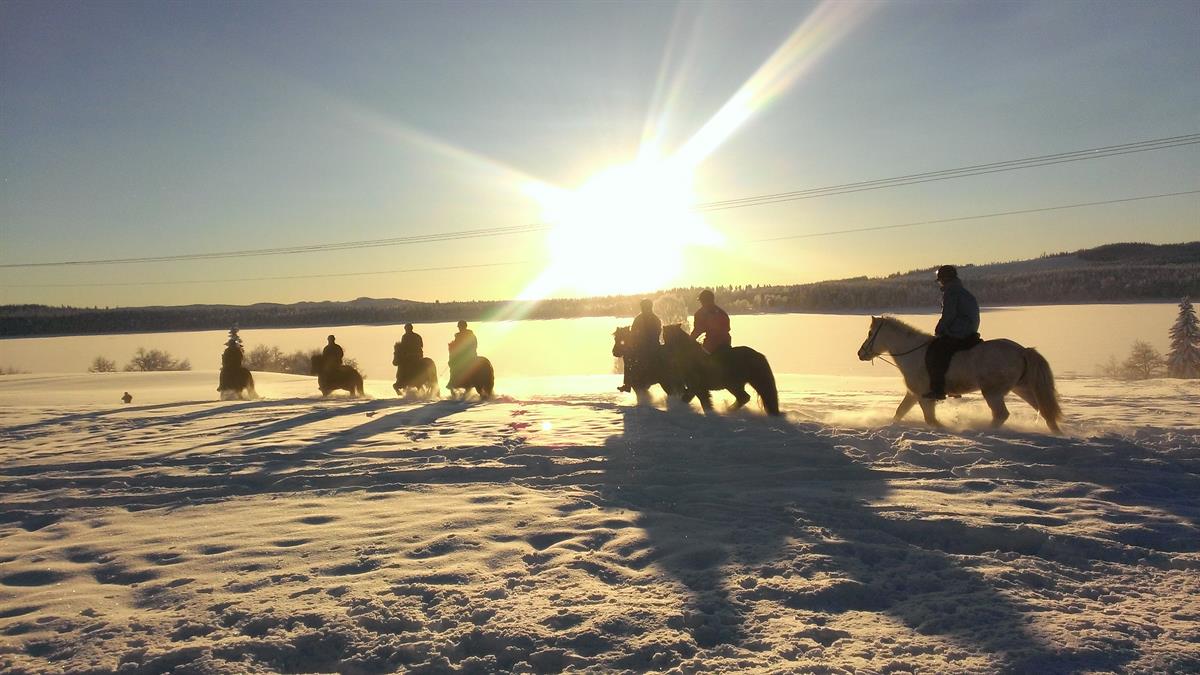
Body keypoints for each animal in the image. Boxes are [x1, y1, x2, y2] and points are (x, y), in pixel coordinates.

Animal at [859, 314, 1065, 429]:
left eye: (870, 333)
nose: (860, 353)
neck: (913, 352)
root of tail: (1022, 351)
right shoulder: (913, 394)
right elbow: (899, 412)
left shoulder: (924, 396)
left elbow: (931, 420)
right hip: (1022, 389)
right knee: (1045, 411)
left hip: (993, 393)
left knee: (1001, 415)